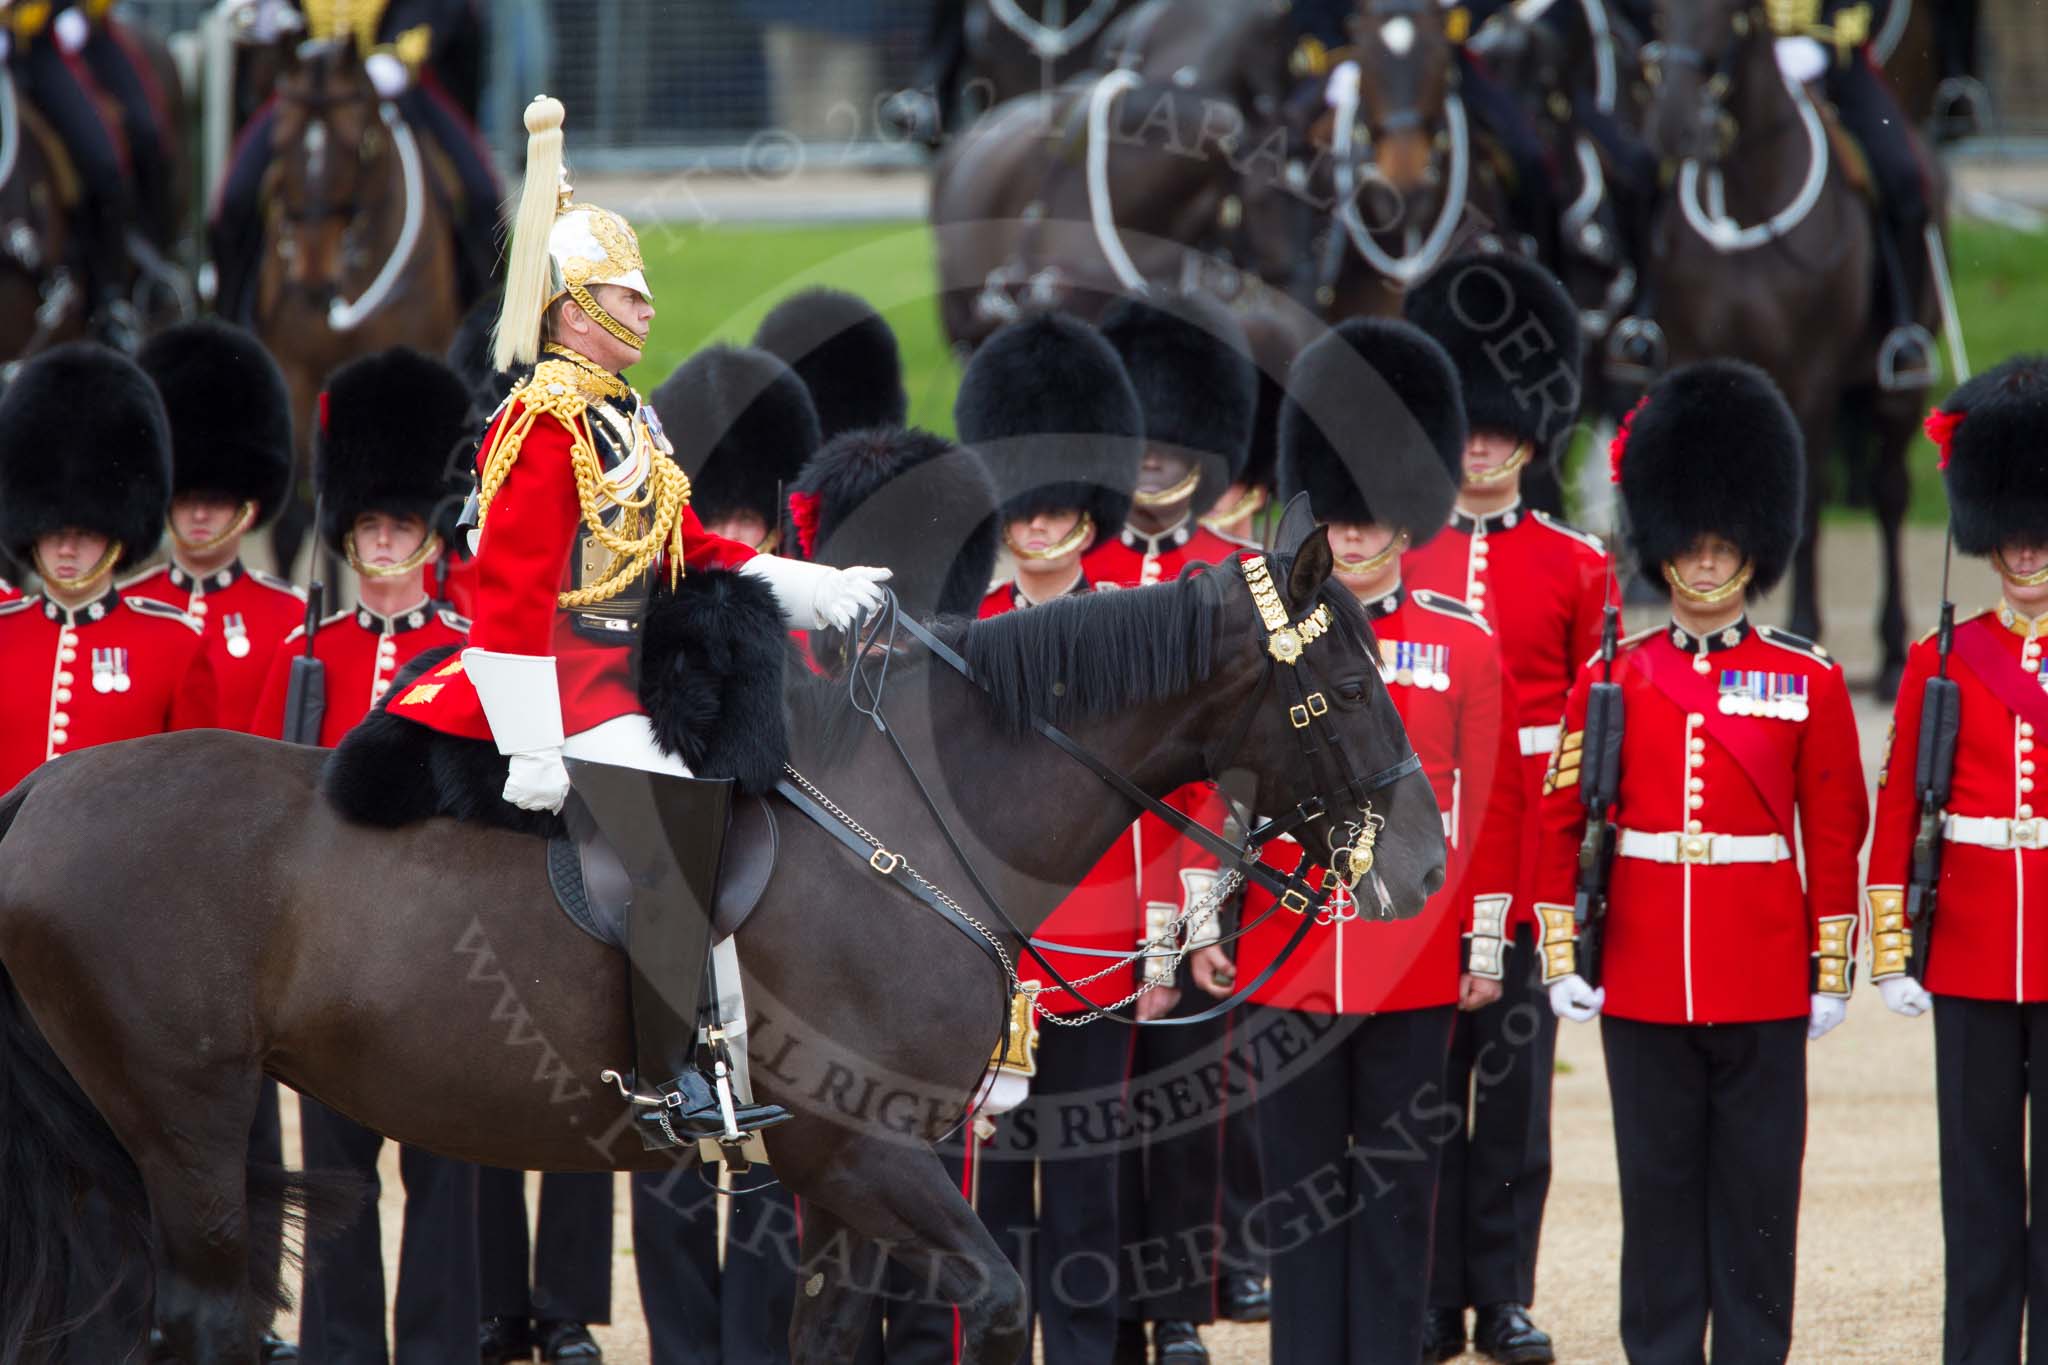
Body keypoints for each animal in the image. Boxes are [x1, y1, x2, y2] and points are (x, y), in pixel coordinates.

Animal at [4, 527, 1441, 1358]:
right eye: (1348, 685)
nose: (1427, 864)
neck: (904, 825)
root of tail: (45, 795)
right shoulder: (865, 1157)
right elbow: (997, 1298)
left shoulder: (850, 1184)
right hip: (186, 1126)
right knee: (196, 1320)